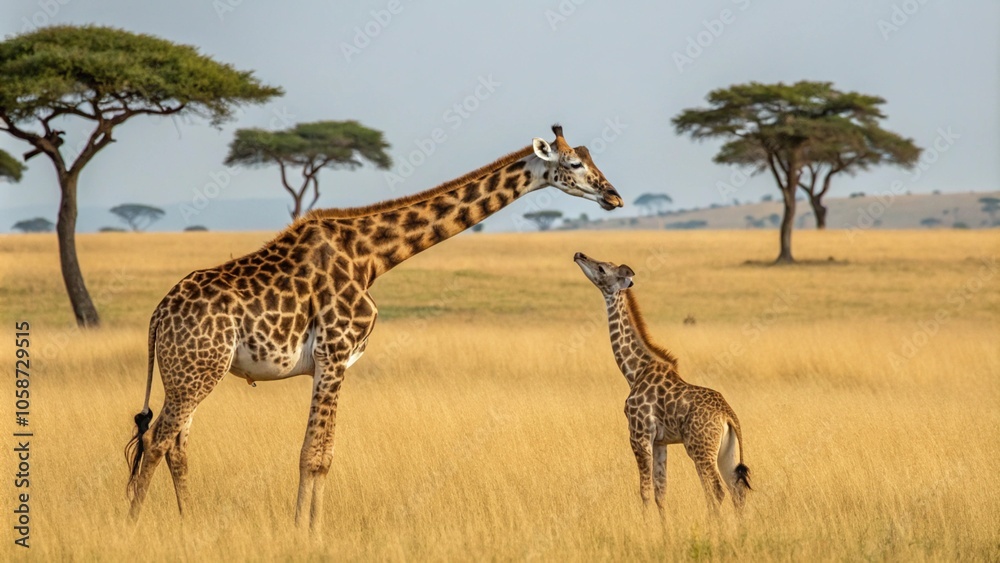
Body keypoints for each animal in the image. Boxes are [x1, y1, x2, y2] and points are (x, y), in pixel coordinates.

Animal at [124, 125, 623, 531]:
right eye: (574, 164)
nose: (614, 196)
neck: (371, 257)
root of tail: (158, 316)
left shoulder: (334, 362)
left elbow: (323, 453)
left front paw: (310, 529)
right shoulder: (333, 355)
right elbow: (314, 454)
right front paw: (305, 533)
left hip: (191, 374)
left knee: (176, 446)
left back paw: (188, 524)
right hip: (195, 372)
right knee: (156, 440)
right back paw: (134, 524)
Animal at [572, 252, 751, 515]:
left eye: (603, 269)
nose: (579, 255)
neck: (635, 370)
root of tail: (729, 416)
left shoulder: (639, 435)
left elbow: (645, 492)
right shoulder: (660, 441)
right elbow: (661, 492)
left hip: (700, 448)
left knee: (716, 490)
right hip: (725, 452)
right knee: (736, 490)